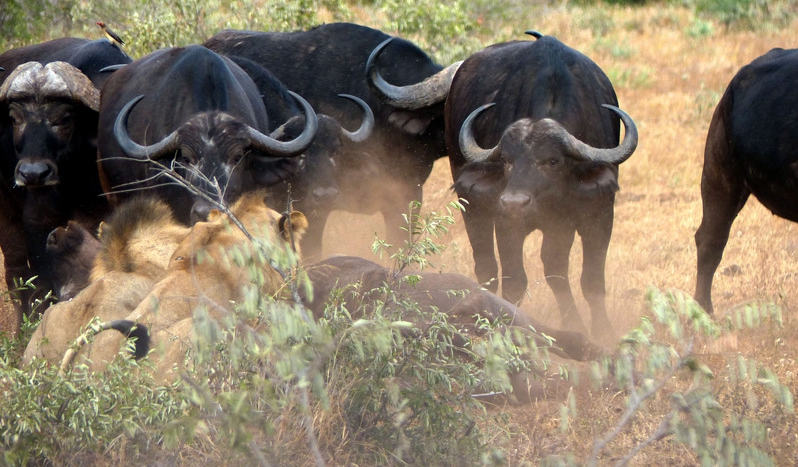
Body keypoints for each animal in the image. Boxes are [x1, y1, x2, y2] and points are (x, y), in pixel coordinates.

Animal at [0, 38, 132, 334]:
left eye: (64, 119)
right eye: (15, 118)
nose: (32, 174)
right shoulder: (36, 222)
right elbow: (42, 284)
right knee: (16, 273)